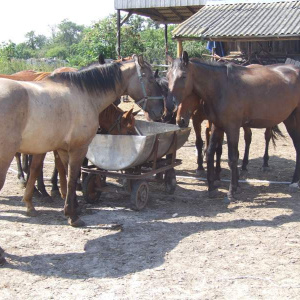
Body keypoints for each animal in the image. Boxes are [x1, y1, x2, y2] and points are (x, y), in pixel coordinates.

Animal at [0, 55, 164, 226]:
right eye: (151, 79)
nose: (160, 110)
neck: (84, 94)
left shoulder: (63, 149)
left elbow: (65, 175)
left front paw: (71, 205)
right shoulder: (79, 148)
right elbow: (72, 177)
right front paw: (72, 215)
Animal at [168, 51, 300, 202]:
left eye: (183, 76)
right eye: (168, 76)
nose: (171, 105)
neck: (221, 87)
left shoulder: (232, 128)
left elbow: (232, 158)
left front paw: (231, 192)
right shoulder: (217, 126)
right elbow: (210, 153)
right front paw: (212, 188)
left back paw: (294, 182)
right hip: (290, 120)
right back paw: (294, 181)